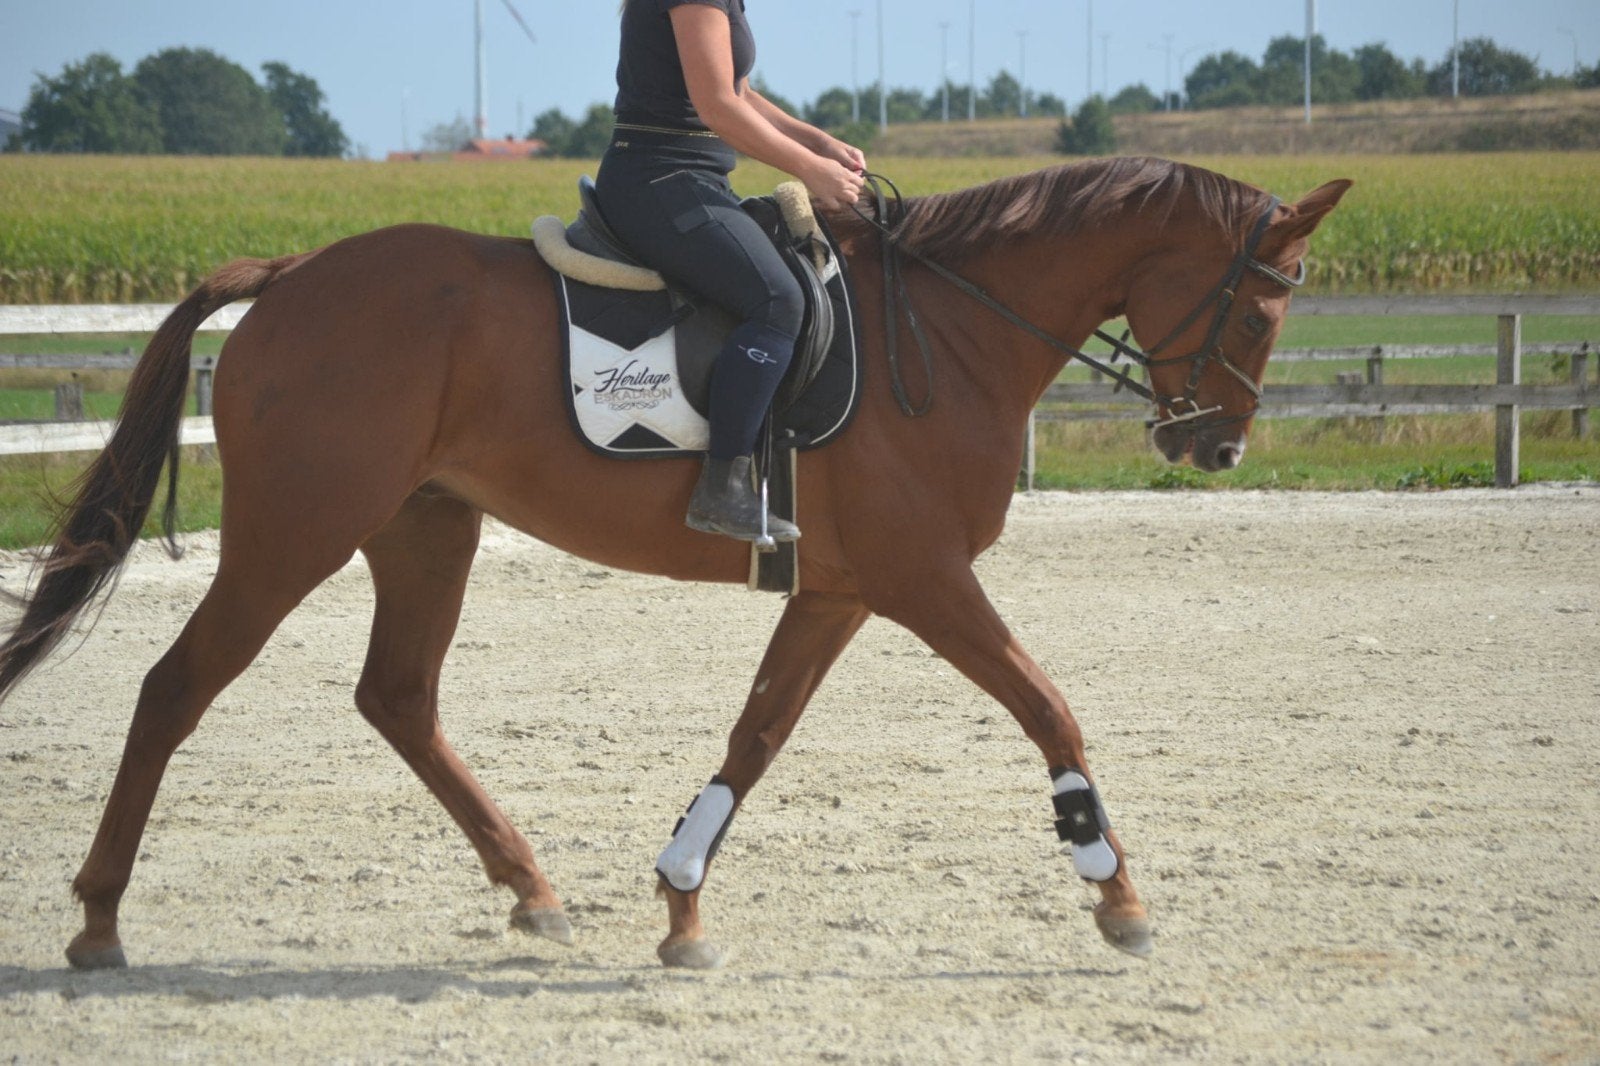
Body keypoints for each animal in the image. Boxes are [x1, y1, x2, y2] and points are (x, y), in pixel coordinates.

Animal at [0, 156, 1349, 971]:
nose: (1215, 446)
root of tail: (289, 276)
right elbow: (1048, 704)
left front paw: (682, 901)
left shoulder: (841, 590)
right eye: (1257, 309)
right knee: (174, 689)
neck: (952, 328)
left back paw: (531, 887)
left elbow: (757, 733)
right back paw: (99, 921)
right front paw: (1113, 888)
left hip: (425, 524)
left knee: (399, 697)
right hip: (297, 530)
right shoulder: (924, 582)